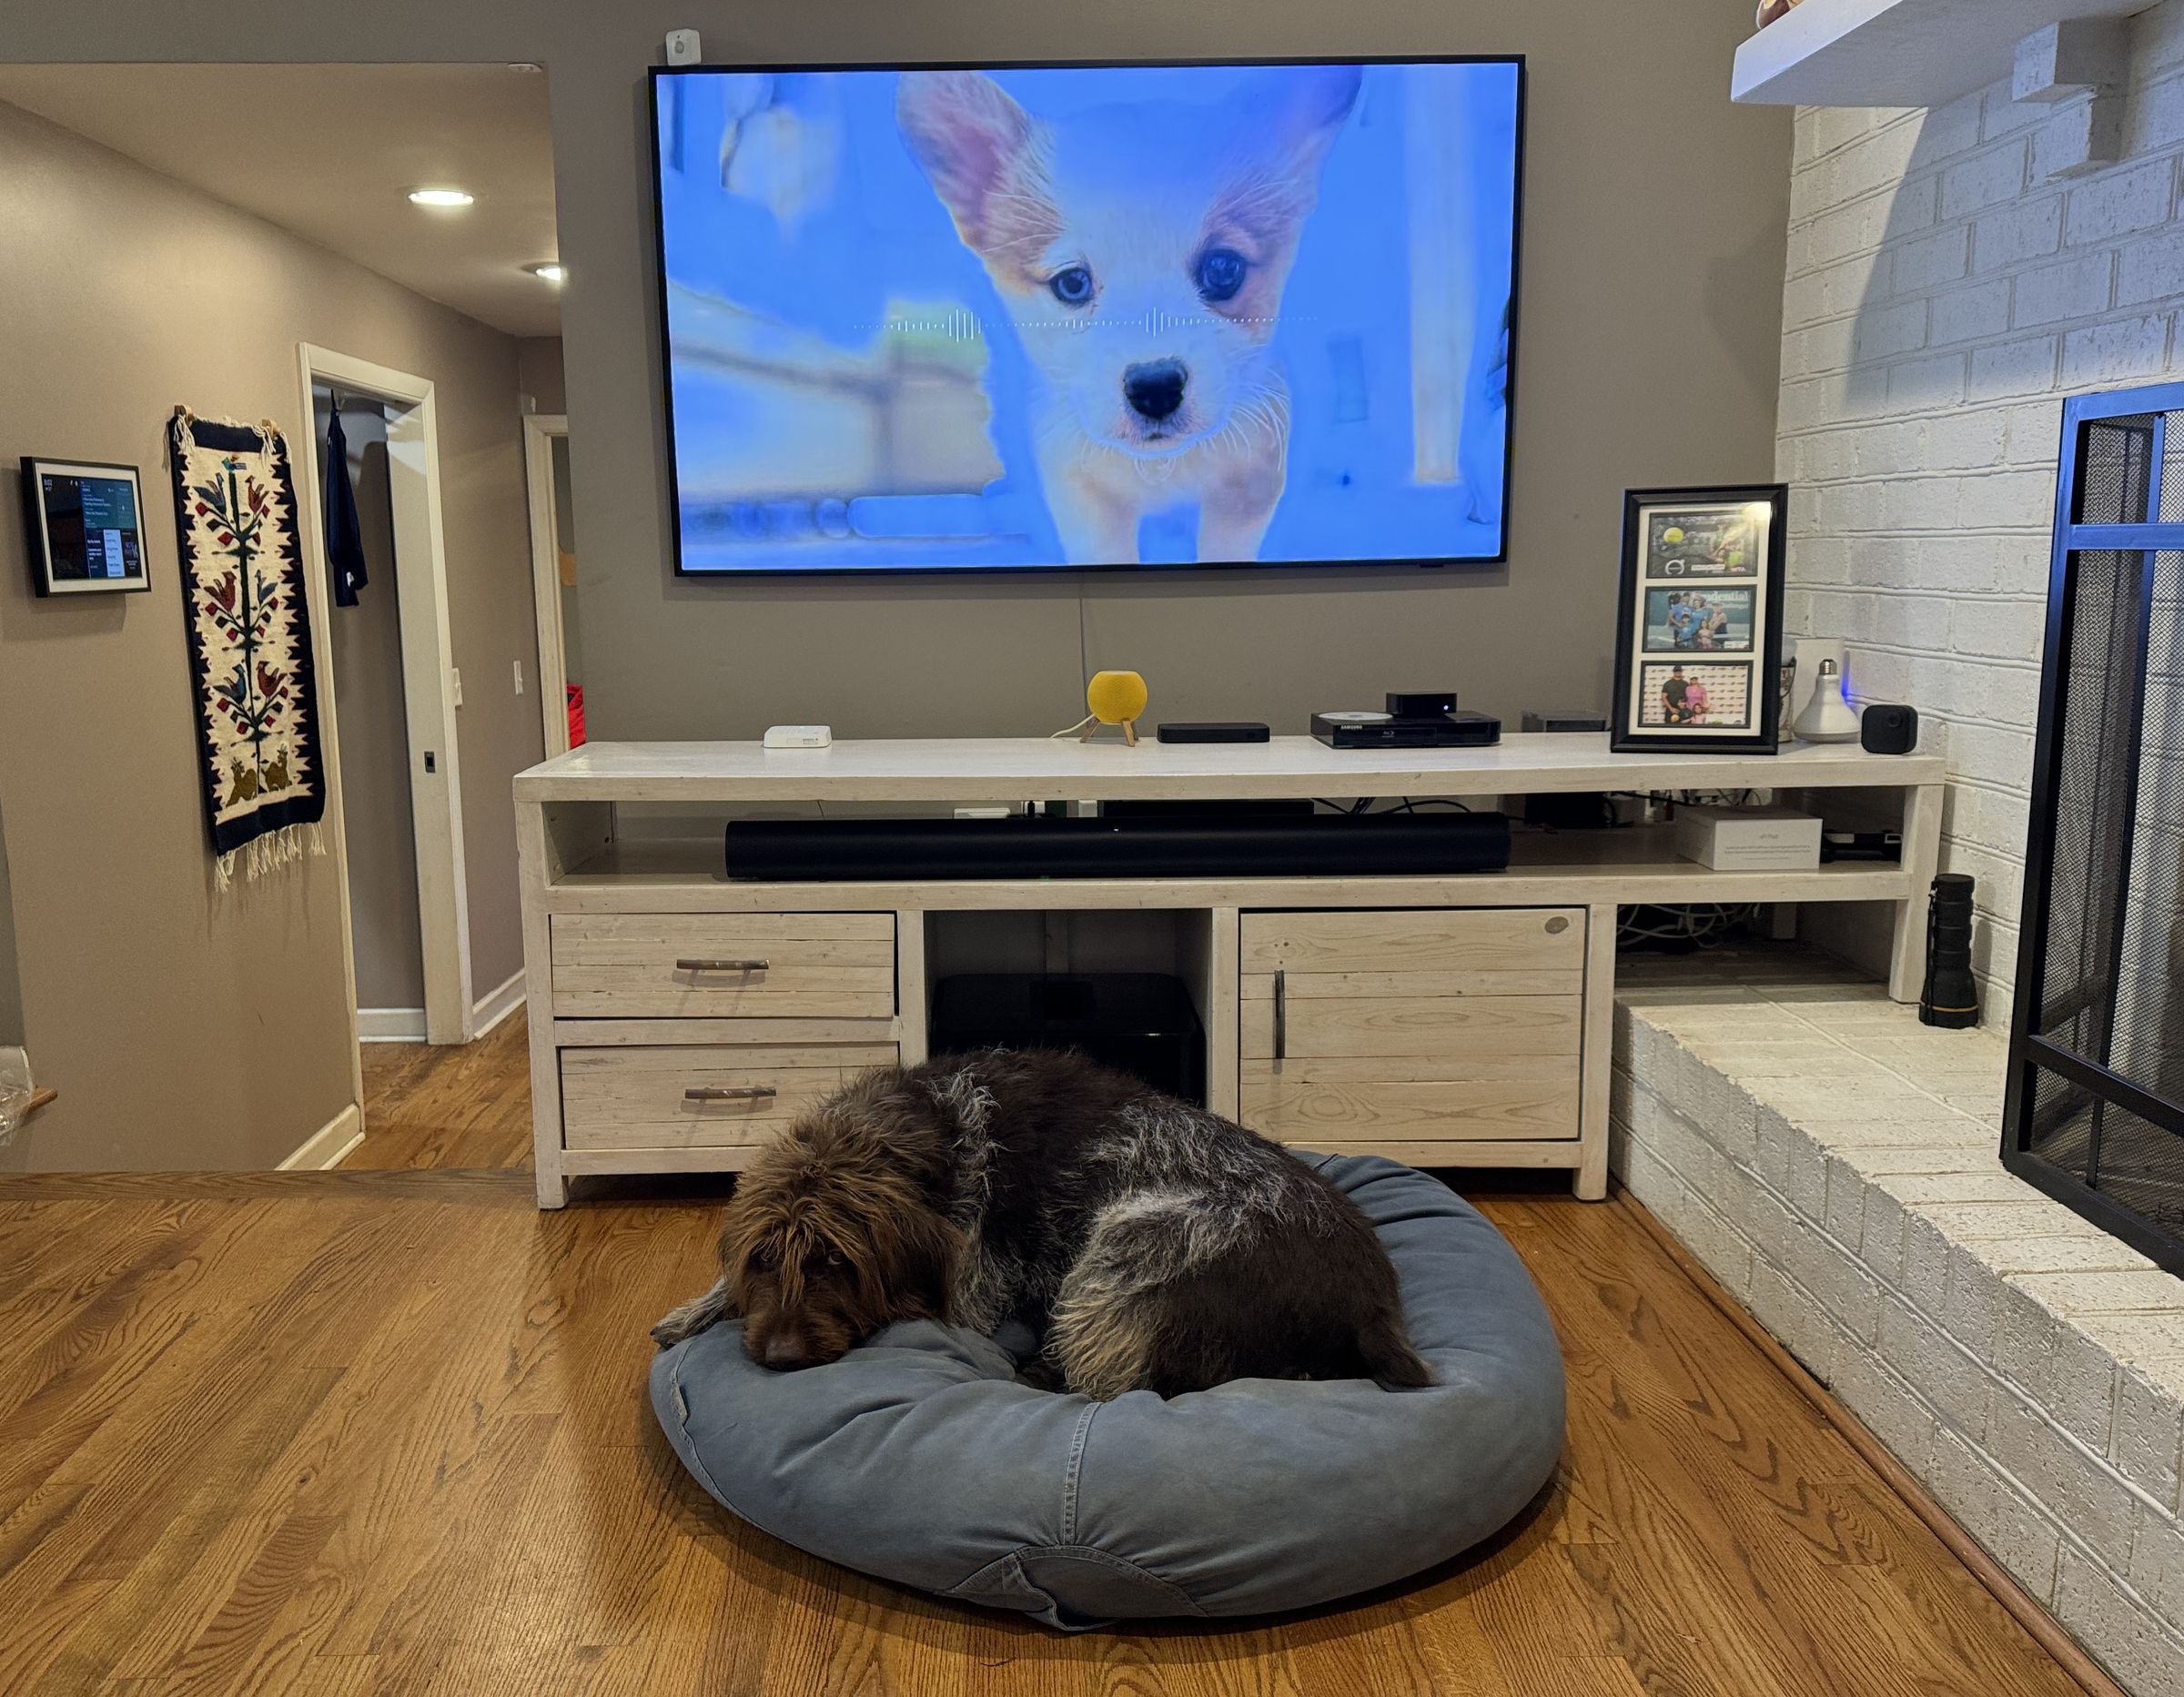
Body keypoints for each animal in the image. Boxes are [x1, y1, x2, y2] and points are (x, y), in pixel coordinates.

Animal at [646, 1044, 1432, 1406]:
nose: (778, 1357)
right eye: (761, 1259)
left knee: (1113, 1384)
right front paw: (695, 1308)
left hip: (1130, 1251)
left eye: (836, 1262)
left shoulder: (969, 1288)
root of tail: (1373, 1307)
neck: (908, 1135)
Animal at [651, 59, 1520, 576]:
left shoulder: (1250, 481)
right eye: (1072, 284)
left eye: (1224, 272)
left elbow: (1226, 543)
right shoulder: (1077, 488)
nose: (1156, 386)